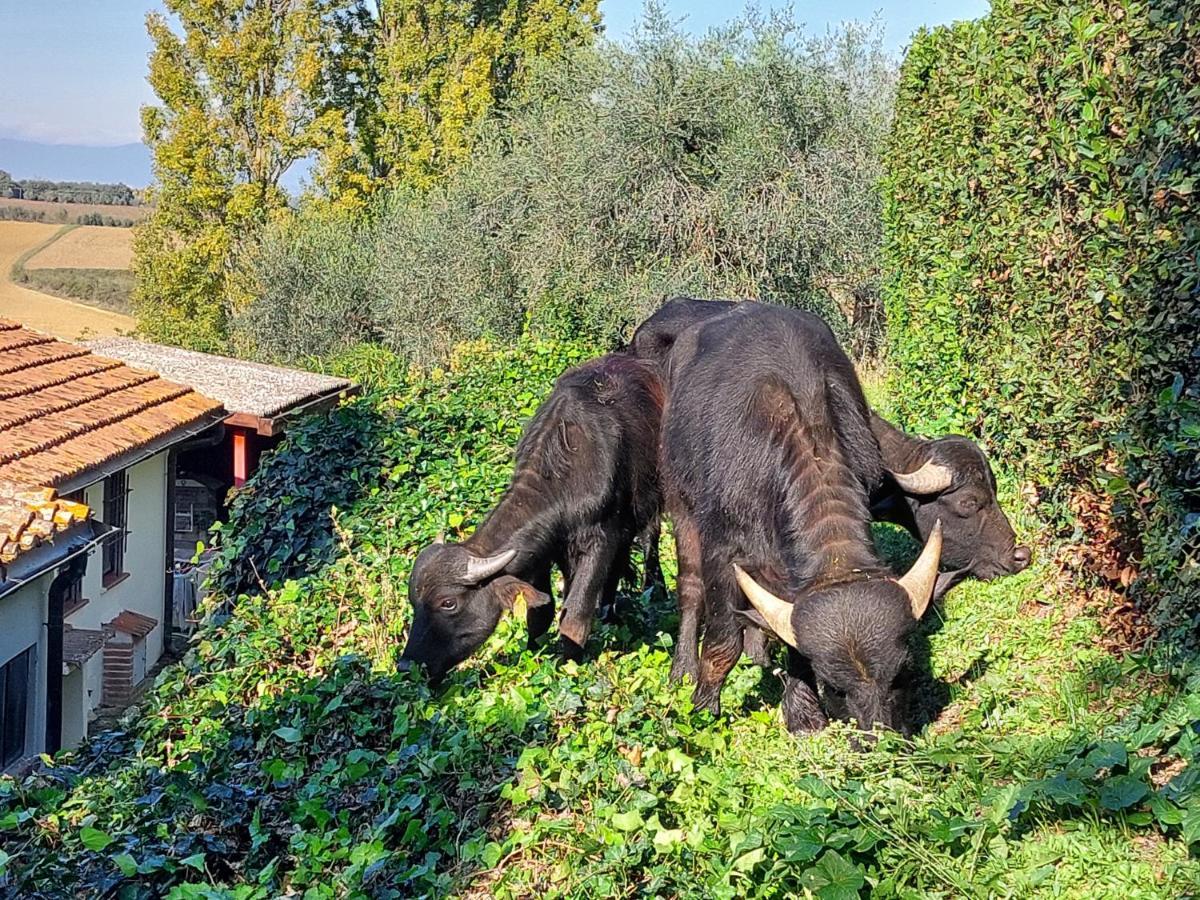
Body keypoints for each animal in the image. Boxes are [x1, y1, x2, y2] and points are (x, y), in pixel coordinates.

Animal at [403, 355, 667, 681]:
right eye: (414, 603)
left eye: (448, 603)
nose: (406, 666)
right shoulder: (543, 551)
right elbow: (541, 612)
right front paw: (534, 653)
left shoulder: (600, 538)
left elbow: (575, 615)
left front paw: (568, 664)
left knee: (650, 538)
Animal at [657, 303, 945, 734]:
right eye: (835, 686)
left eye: (903, 673)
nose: (881, 738)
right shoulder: (722, 546)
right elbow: (724, 640)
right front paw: (704, 705)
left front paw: (803, 714)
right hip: (680, 501)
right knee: (691, 587)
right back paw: (684, 668)